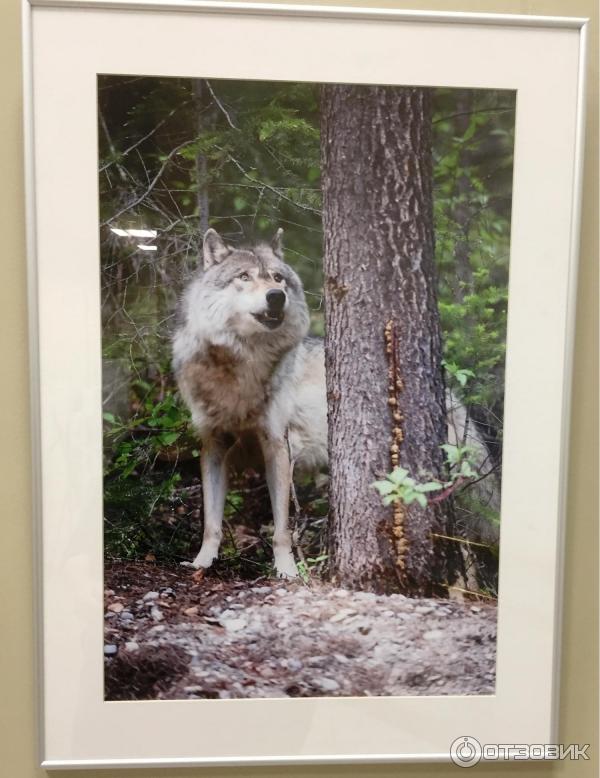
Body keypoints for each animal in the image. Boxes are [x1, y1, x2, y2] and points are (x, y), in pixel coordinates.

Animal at [173, 226, 326, 576]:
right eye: (244, 276)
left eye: (277, 278)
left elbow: (281, 528)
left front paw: (286, 570)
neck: (240, 362)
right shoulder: (213, 445)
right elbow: (211, 522)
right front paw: (202, 561)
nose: (276, 296)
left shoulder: (277, 445)